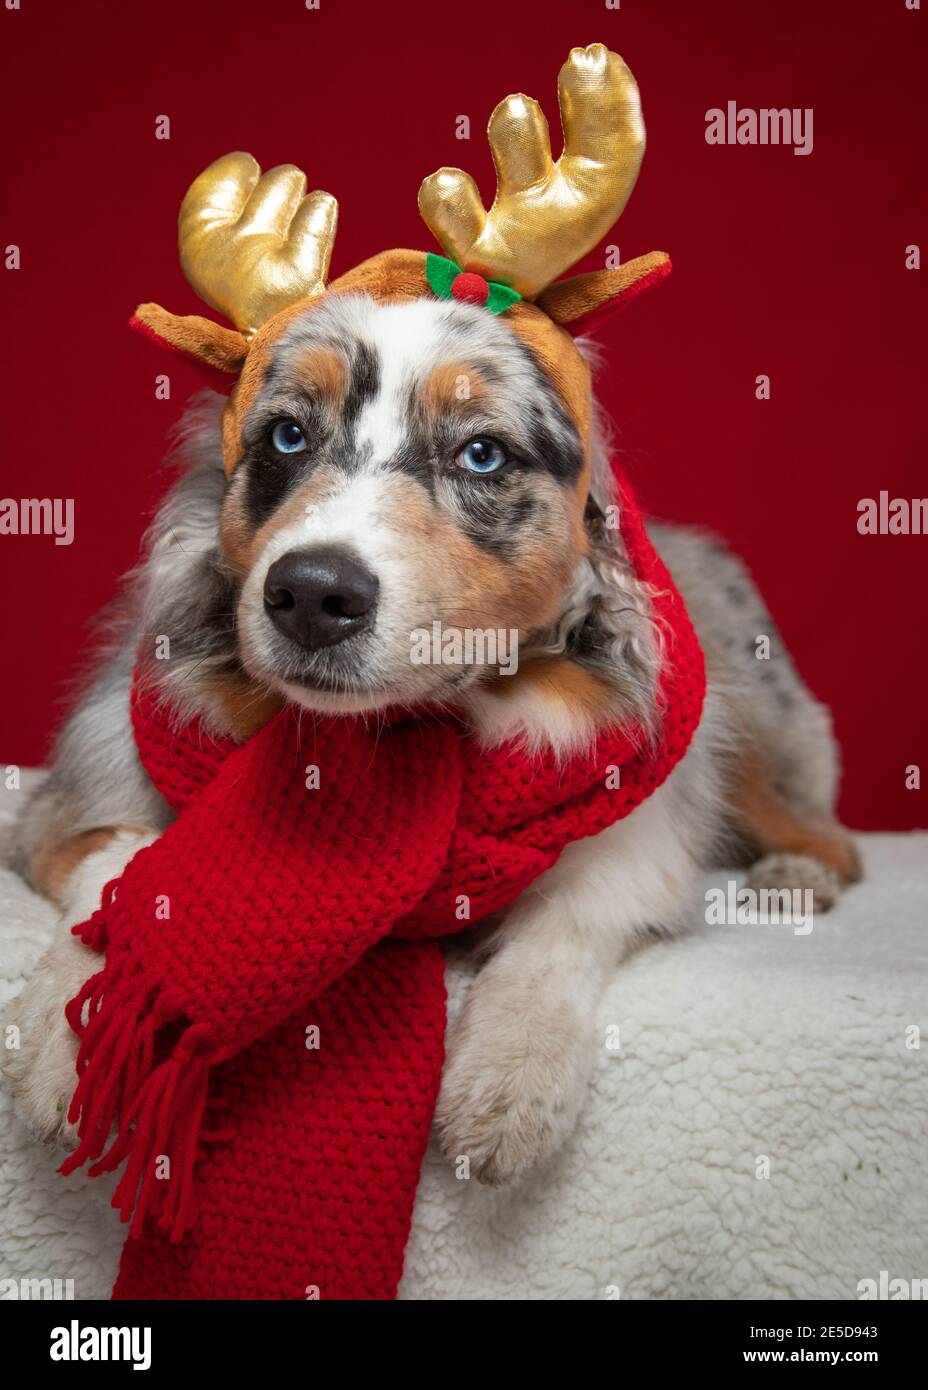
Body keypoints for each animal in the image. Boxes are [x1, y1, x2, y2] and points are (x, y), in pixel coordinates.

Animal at [0, 46, 861, 1195]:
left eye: (481, 453)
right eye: (284, 436)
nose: (311, 592)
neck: (402, 744)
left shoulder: (633, 839)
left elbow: (564, 926)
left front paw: (510, 1088)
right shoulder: (63, 807)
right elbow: (126, 869)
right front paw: (70, 1035)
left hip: (760, 734)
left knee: (836, 839)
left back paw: (791, 877)